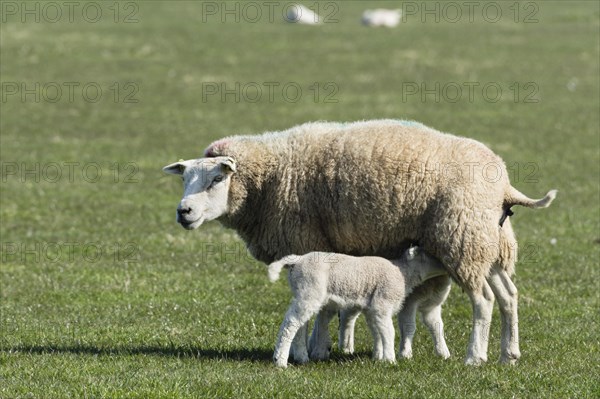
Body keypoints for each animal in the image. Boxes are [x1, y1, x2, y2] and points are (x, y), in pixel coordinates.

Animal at [270, 250, 448, 368]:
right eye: (432, 255)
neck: (403, 273)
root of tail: (298, 260)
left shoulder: (371, 309)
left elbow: (377, 332)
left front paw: (378, 356)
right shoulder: (382, 303)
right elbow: (389, 332)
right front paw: (390, 360)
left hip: (303, 291)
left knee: (299, 324)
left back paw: (300, 357)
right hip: (310, 289)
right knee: (291, 323)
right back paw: (281, 361)